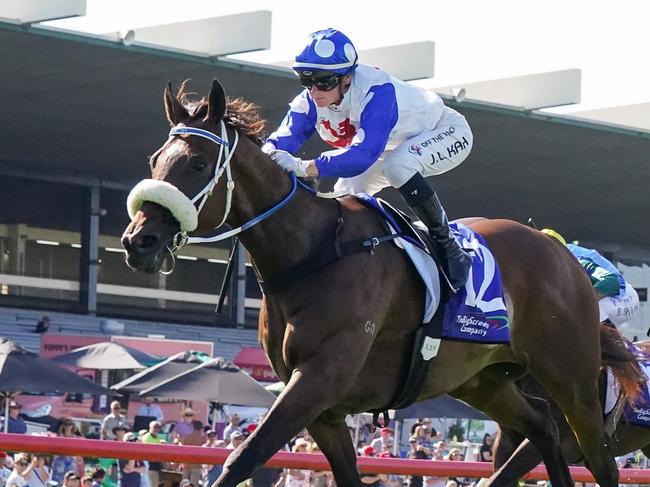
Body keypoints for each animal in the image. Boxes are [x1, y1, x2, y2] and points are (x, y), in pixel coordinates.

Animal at [123, 81, 616, 487]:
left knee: (599, 457)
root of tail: (562, 251)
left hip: (570, 376)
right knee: (542, 427)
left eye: (197, 163)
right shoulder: (325, 409)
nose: (137, 242)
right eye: (154, 161)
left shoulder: (319, 378)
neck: (313, 254)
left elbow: (243, 457)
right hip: (481, 380)